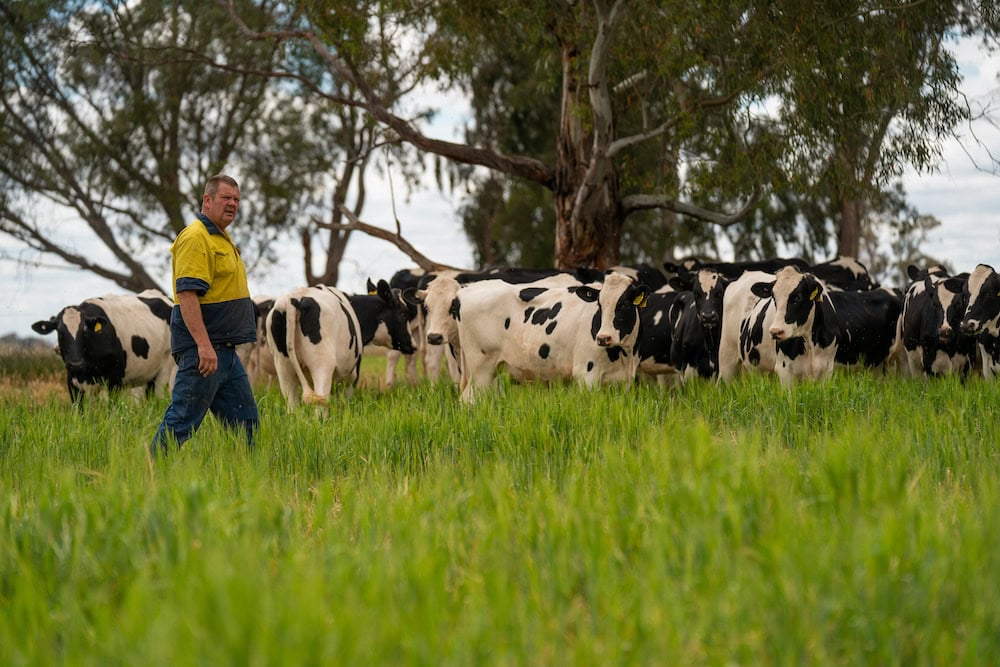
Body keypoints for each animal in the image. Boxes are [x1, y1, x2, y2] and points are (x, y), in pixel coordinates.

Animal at [31, 288, 176, 402]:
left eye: (85, 331)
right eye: (60, 332)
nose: (76, 364)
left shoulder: (115, 379)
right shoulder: (73, 381)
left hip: (165, 370)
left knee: (158, 399)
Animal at [266, 280, 414, 410]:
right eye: (403, 314)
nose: (412, 344)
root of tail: (294, 299)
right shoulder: (351, 378)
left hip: (283, 368)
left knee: (292, 406)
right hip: (322, 365)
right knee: (321, 404)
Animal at [452, 270, 648, 402]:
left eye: (624, 305)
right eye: (600, 305)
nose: (603, 338)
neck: (624, 355)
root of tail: (466, 289)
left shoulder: (625, 382)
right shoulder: (586, 375)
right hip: (481, 370)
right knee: (468, 399)